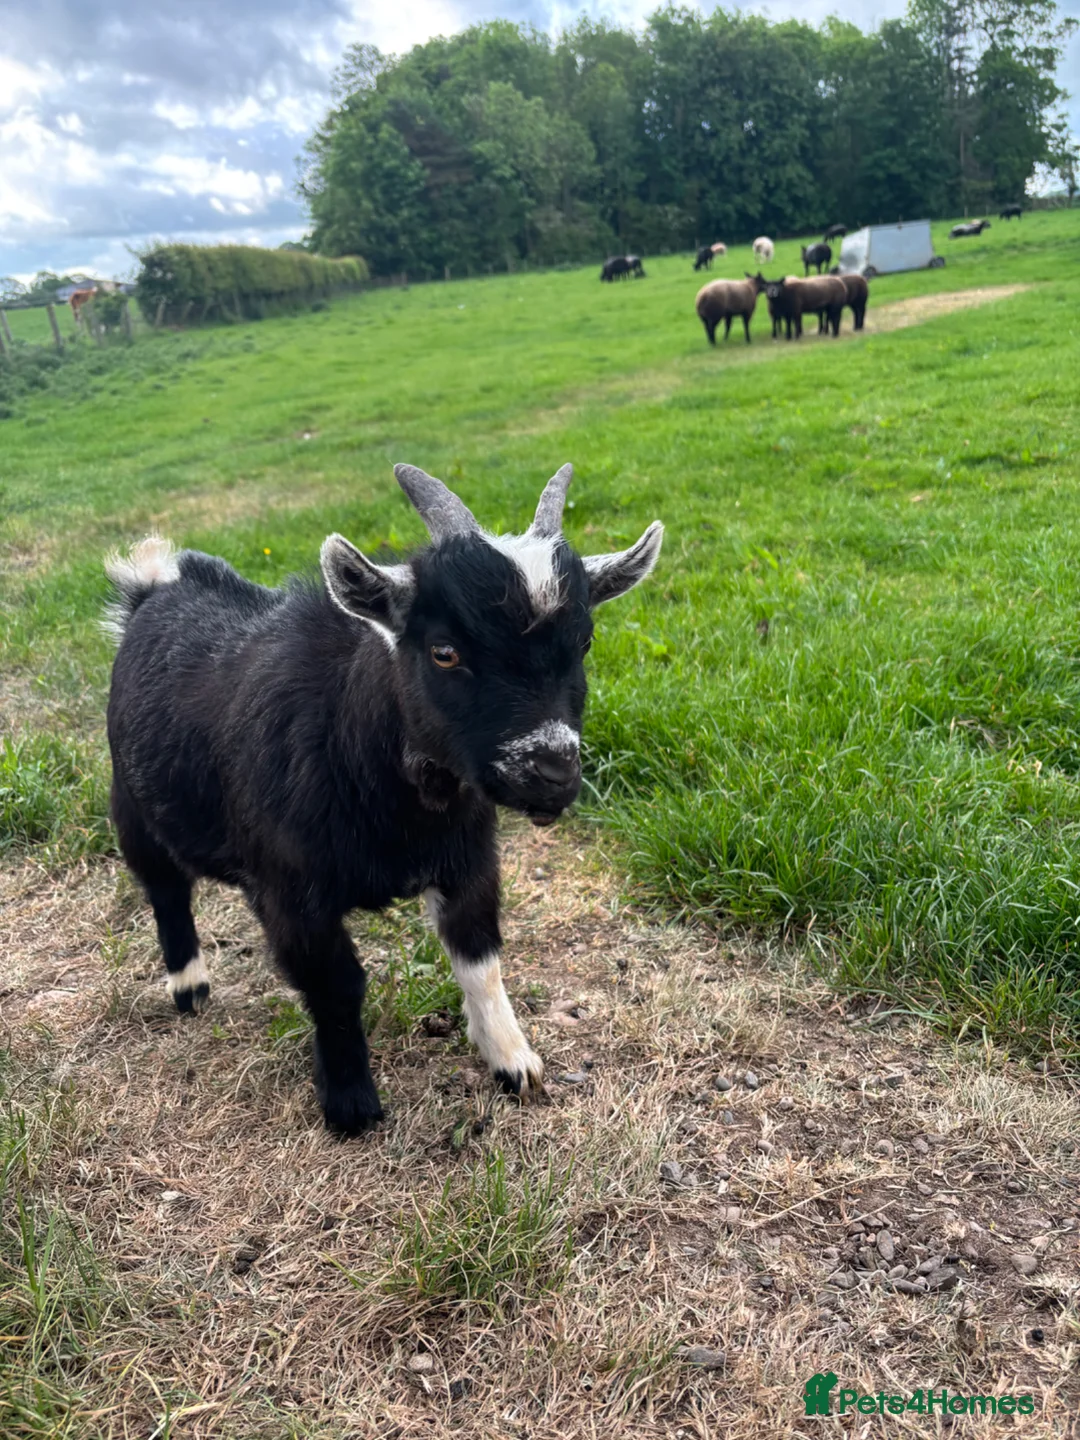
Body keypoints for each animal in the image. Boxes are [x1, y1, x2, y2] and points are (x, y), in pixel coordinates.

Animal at [104, 467, 664, 1134]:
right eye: (444, 651)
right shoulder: (293, 894)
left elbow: (480, 958)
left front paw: (513, 1063)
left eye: (584, 643)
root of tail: (155, 587)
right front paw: (351, 1105)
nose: (552, 772)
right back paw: (189, 988)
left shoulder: (469, 863)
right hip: (130, 804)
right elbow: (337, 985)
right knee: (164, 890)